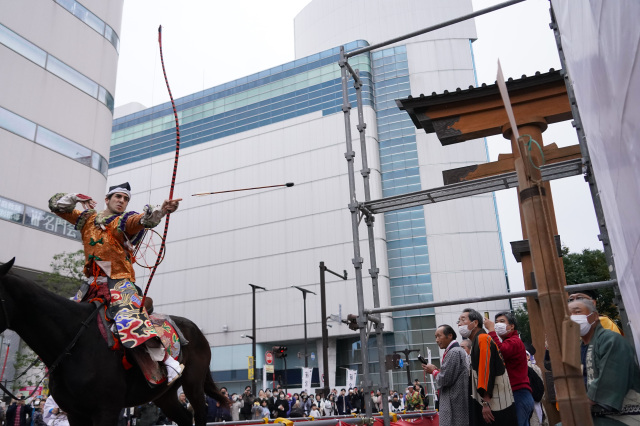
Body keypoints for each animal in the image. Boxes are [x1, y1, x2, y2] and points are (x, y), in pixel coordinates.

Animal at [0, 258, 229, 424]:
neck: (73, 344)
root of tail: (197, 331)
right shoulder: (75, 412)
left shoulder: (106, 409)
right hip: (164, 394)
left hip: (193, 383)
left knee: (199, 413)